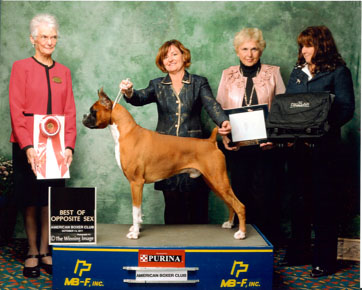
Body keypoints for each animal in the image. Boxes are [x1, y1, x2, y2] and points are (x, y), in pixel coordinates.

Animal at [83, 88, 245, 240]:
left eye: (93, 111)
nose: (84, 116)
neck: (126, 132)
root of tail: (210, 142)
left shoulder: (136, 182)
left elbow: (135, 210)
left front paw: (135, 233)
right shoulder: (137, 184)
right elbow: (139, 212)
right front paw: (137, 228)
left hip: (219, 181)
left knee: (239, 205)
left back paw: (241, 233)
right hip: (214, 183)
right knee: (230, 204)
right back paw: (229, 224)